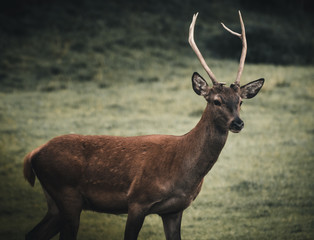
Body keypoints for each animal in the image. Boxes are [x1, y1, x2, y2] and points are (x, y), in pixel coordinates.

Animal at [23, 11, 264, 240]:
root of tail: (33, 154)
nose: (238, 123)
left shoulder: (174, 210)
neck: (183, 172)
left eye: (240, 101)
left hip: (55, 201)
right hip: (67, 194)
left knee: (33, 233)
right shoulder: (137, 200)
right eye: (216, 101)